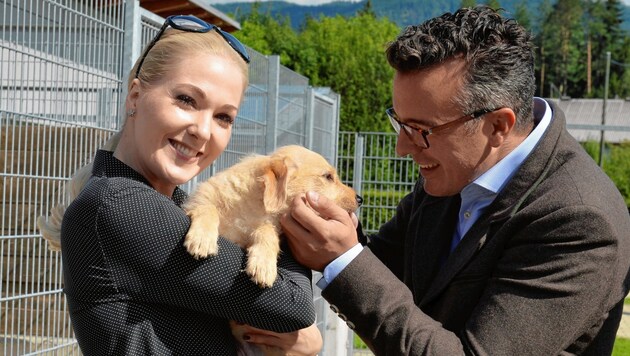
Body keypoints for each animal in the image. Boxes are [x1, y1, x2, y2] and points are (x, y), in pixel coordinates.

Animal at [183, 145, 360, 290]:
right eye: (328, 176)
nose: (360, 199)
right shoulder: (198, 200)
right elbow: (208, 207)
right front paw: (202, 238)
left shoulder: (266, 225)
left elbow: (267, 231)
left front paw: (263, 264)